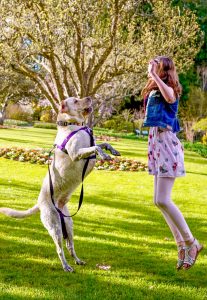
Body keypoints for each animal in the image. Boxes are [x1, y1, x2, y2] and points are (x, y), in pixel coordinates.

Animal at [0, 96, 119, 272]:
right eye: (75, 100)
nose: (90, 98)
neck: (76, 125)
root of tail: (40, 204)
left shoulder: (88, 147)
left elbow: (101, 143)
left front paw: (113, 151)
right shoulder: (76, 153)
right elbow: (96, 147)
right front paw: (104, 155)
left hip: (68, 225)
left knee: (70, 246)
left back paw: (77, 260)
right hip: (54, 225)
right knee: (59, 249)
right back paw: (66, 266)